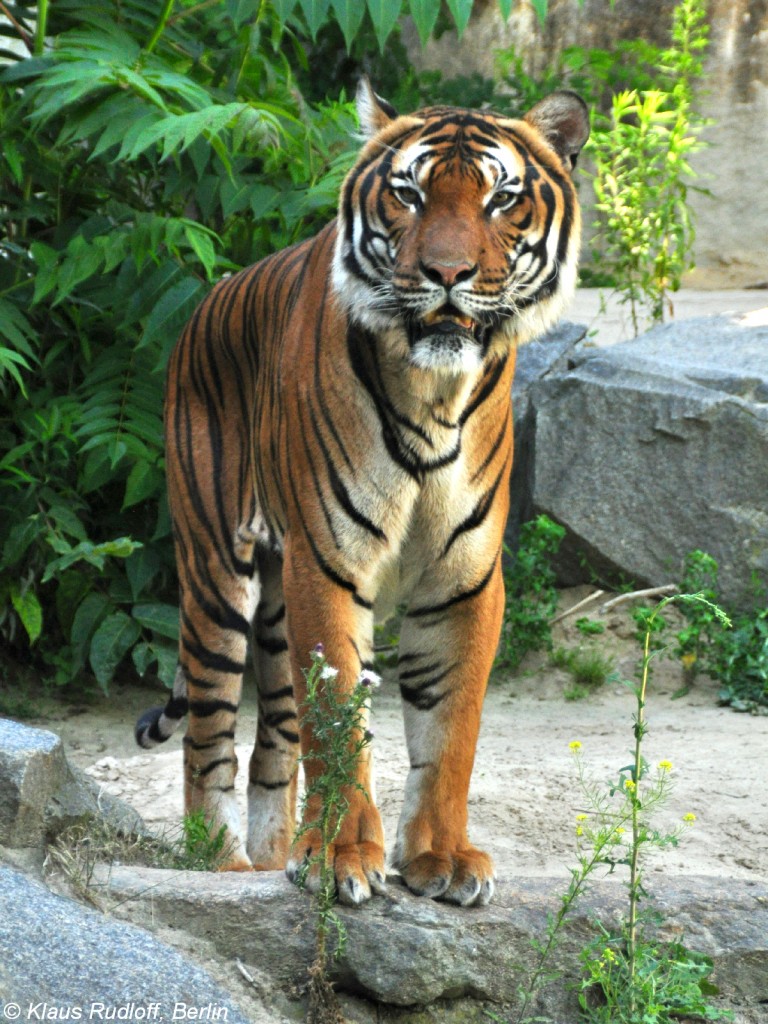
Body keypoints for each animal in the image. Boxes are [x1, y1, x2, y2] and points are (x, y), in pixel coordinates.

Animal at [135, 81, 589, 913]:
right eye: (409, 194)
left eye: (503, 198)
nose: (447, 272)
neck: (435, 391)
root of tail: (205, 306)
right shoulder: (329, 563)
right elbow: (340, 722)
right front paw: (340, 858)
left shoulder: (464, 580)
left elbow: (449, 732)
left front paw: (441, 859)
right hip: (216, 574)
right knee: (209, 738)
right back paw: (224, 865)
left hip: (274, 606)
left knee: (274, 745)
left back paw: (272, 854)